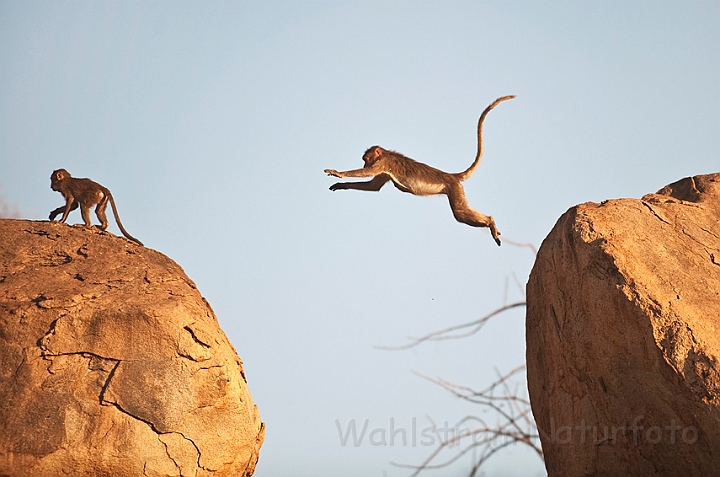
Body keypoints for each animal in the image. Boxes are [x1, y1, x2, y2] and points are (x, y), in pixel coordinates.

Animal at [324, 95, 516, 247]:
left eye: (366, 160)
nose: (364, 165)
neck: (384, 154)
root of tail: (451, 176)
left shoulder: (383, 163)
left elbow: (370, 177)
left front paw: (338, 173)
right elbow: (373, 187)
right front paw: (341, 185)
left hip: (454, 188)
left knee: (460, 213)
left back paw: (490, 222)